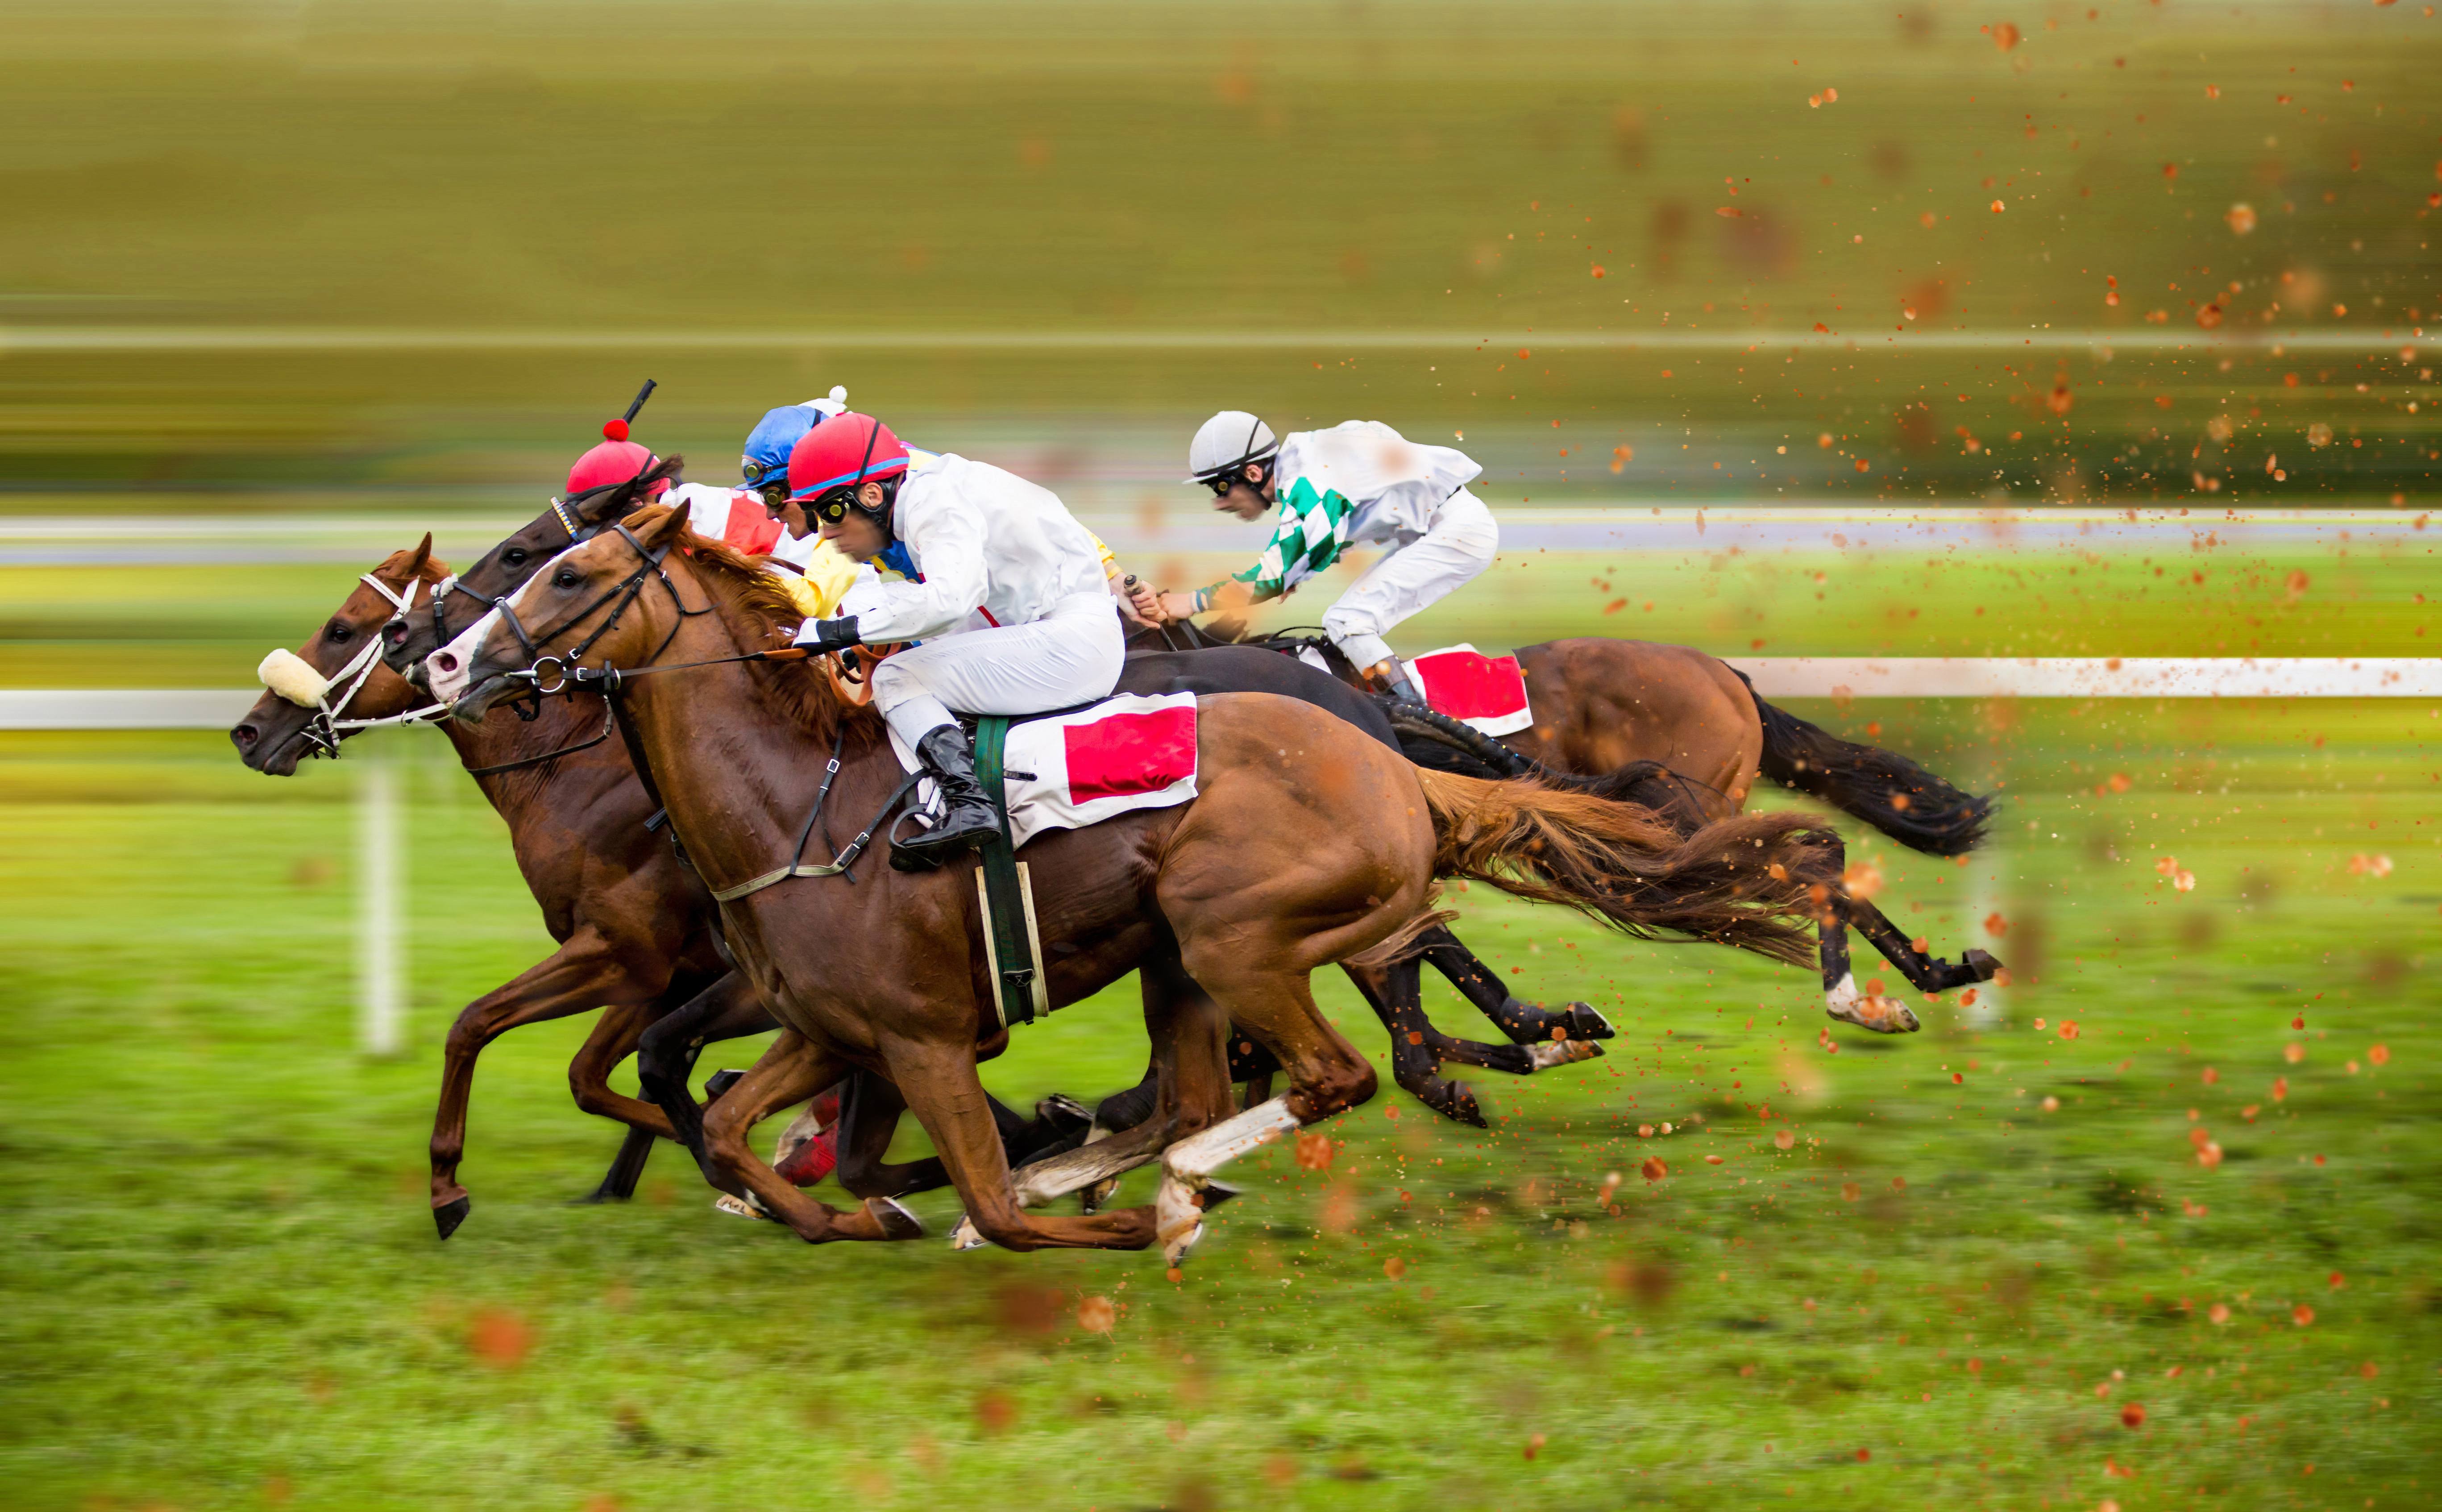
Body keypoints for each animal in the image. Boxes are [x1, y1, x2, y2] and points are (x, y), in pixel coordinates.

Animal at [444, 503, 1846, 1260]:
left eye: (568, 572)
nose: (452, 658)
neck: (798, 807)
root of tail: (1393, 764)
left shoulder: (925, 1038)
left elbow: (977, 1193)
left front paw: (1064, 1208)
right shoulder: (832, 1028)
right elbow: (737, 1132)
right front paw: (862, 1212)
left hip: (1228, 937)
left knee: (1321, 1071)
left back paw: (1173, 1184)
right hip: (1183, 959)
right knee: (1196, 1092)